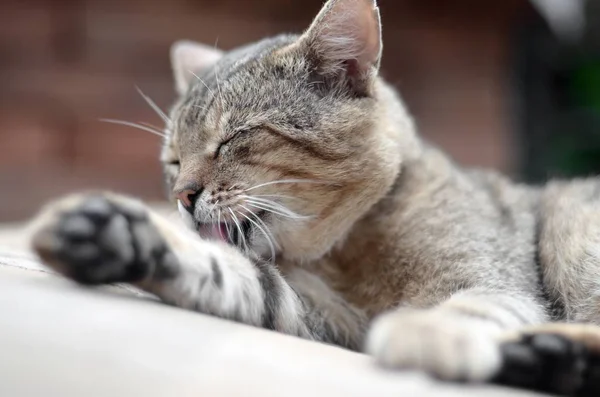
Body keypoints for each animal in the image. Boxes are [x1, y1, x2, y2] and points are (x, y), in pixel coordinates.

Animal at [30, 1, 600, 394]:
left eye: (233, 138)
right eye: (172, 159)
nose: (181, 195)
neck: (347, 251)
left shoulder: (494, 280)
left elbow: (467, 308)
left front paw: (428, 334)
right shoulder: (324, 317)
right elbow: (240, 277)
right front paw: (121, 238)